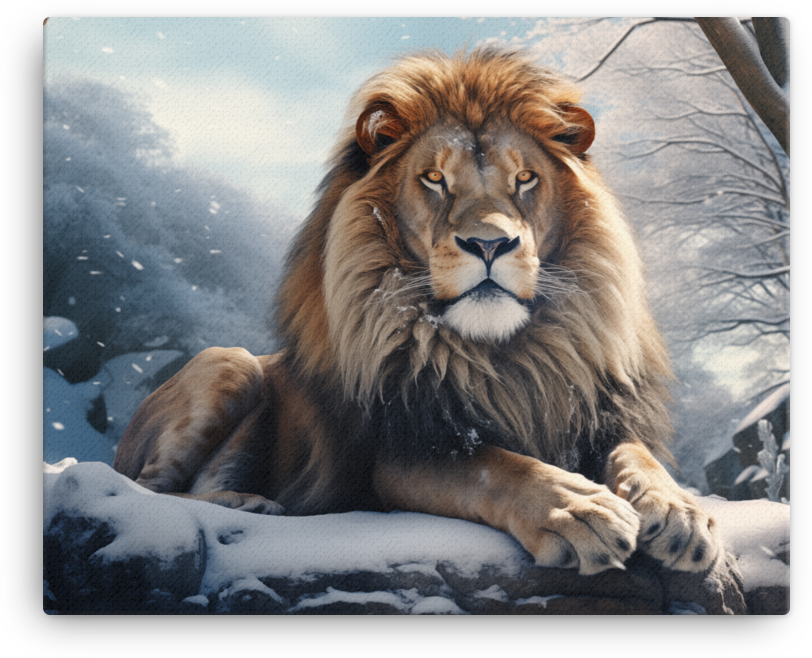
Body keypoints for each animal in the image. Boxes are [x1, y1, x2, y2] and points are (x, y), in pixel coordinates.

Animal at [114, 48, 722, 576]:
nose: (489, 244)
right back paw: (248, 504)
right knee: (150, 489)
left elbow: (638, 455)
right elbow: (495, 466)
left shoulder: (598, 417)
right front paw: (579, 509)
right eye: (434, 178)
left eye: (525, 179)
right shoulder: (399, 453)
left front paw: (681, 511)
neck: (506, 355)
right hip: (231, 362)